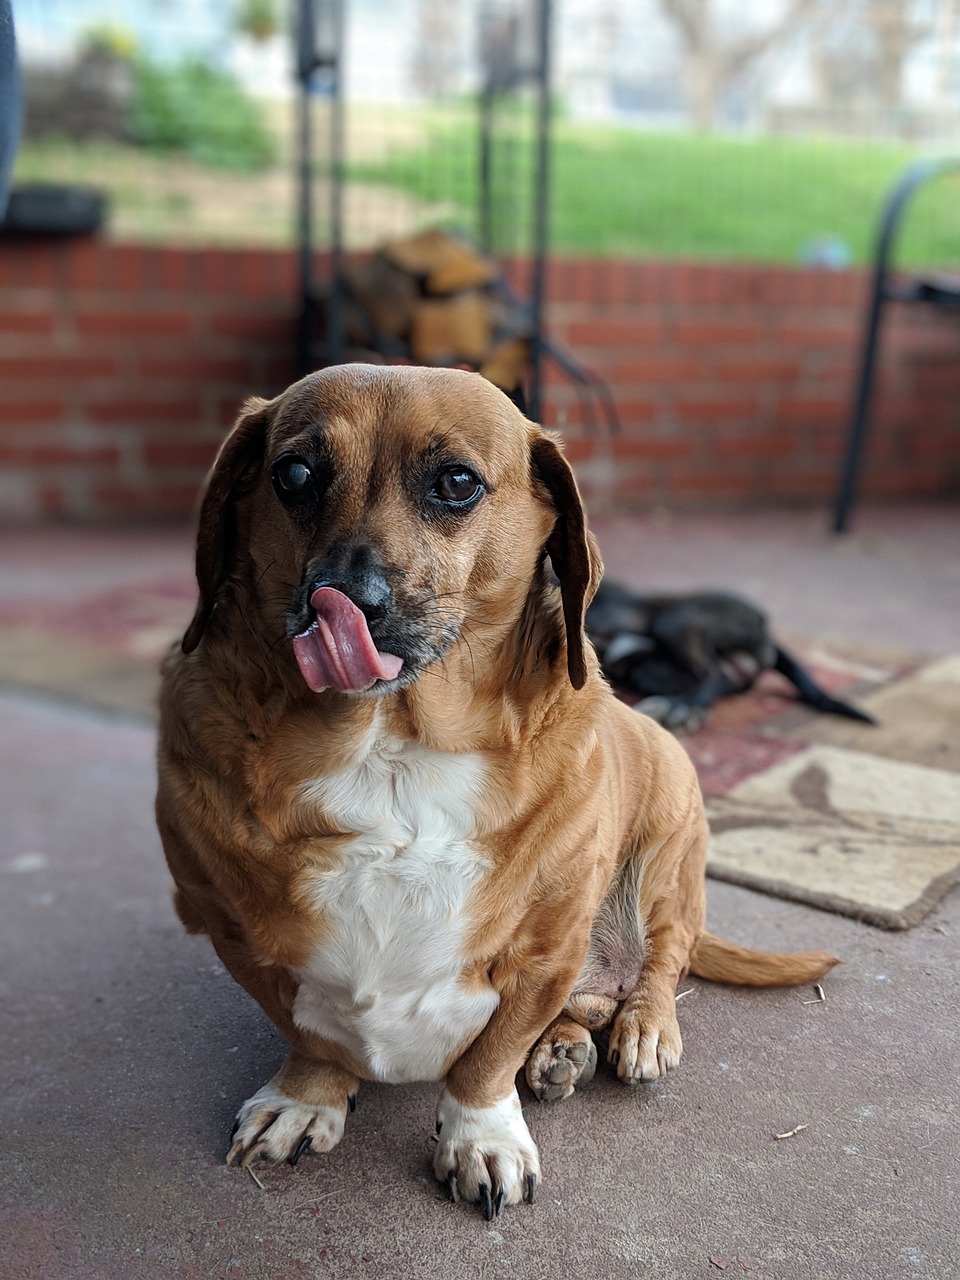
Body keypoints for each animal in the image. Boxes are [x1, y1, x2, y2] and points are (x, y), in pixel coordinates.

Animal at [156, 368, 834, 1218]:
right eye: (295, 474)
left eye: (456, 483)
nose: (344, 602)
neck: (393, 748)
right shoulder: (237, 935)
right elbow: (308, 1034)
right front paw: (307, 1097)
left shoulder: (547, 948)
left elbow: (487, 1059)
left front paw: (481, 1135)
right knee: (585, 1006)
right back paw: (565, 1048)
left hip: (668, 846)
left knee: (663, 959)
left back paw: (643, 1028)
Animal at [586, 578, 880, 732]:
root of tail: (763, 625)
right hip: (651, 669)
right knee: (711, 681)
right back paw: (672, 706)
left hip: (678, 622)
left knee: (713, 676)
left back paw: (684, 709)